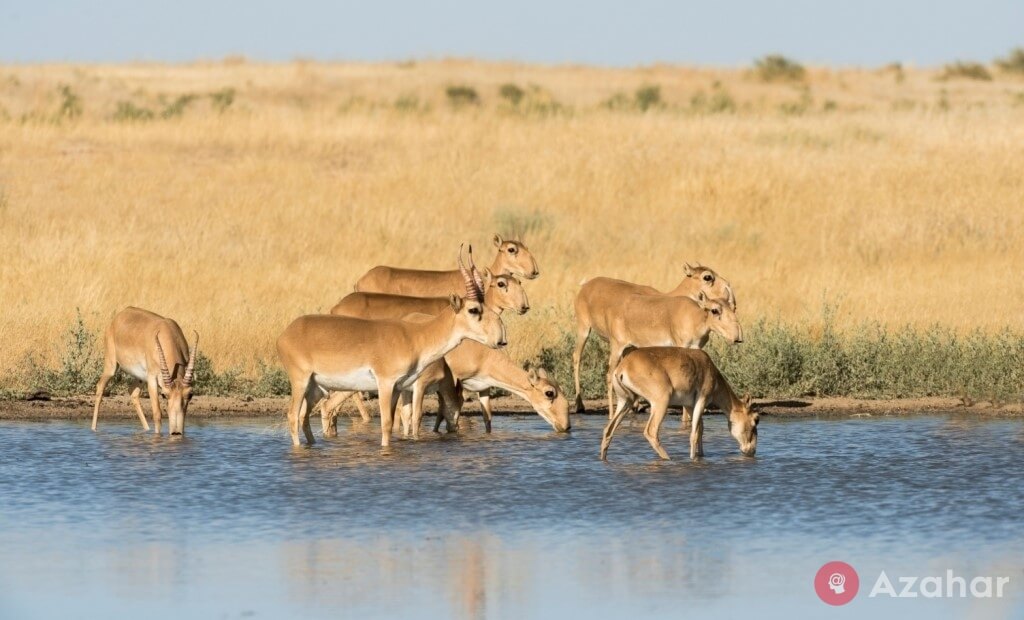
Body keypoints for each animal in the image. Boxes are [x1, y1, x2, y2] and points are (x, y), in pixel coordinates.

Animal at [278, 246, 505, 444]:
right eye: (473, 309)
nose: (499, 340)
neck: (416, 337)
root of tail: (288, 331)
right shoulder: (385, 384)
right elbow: (387, 424)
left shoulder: (397, 388)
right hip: (300, 382)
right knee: (292, 416)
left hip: (316, 388)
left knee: (304, 417)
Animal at [577, 264, 737, 414]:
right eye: (707, 277)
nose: (732, 297)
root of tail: (586, 285)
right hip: (585, 330)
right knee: (578, 358)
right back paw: (583, 406)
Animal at [598, 348, 761, 459]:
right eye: (755, 420)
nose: (752, 451)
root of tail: (622, 367)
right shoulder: (701, 400)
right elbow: (694, 433)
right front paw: (692, 458)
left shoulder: (689, 405)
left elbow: (700, 430)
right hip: (660, 402)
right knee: (651, 432)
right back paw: (668, 459)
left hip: (626, 402)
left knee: (608, 429)